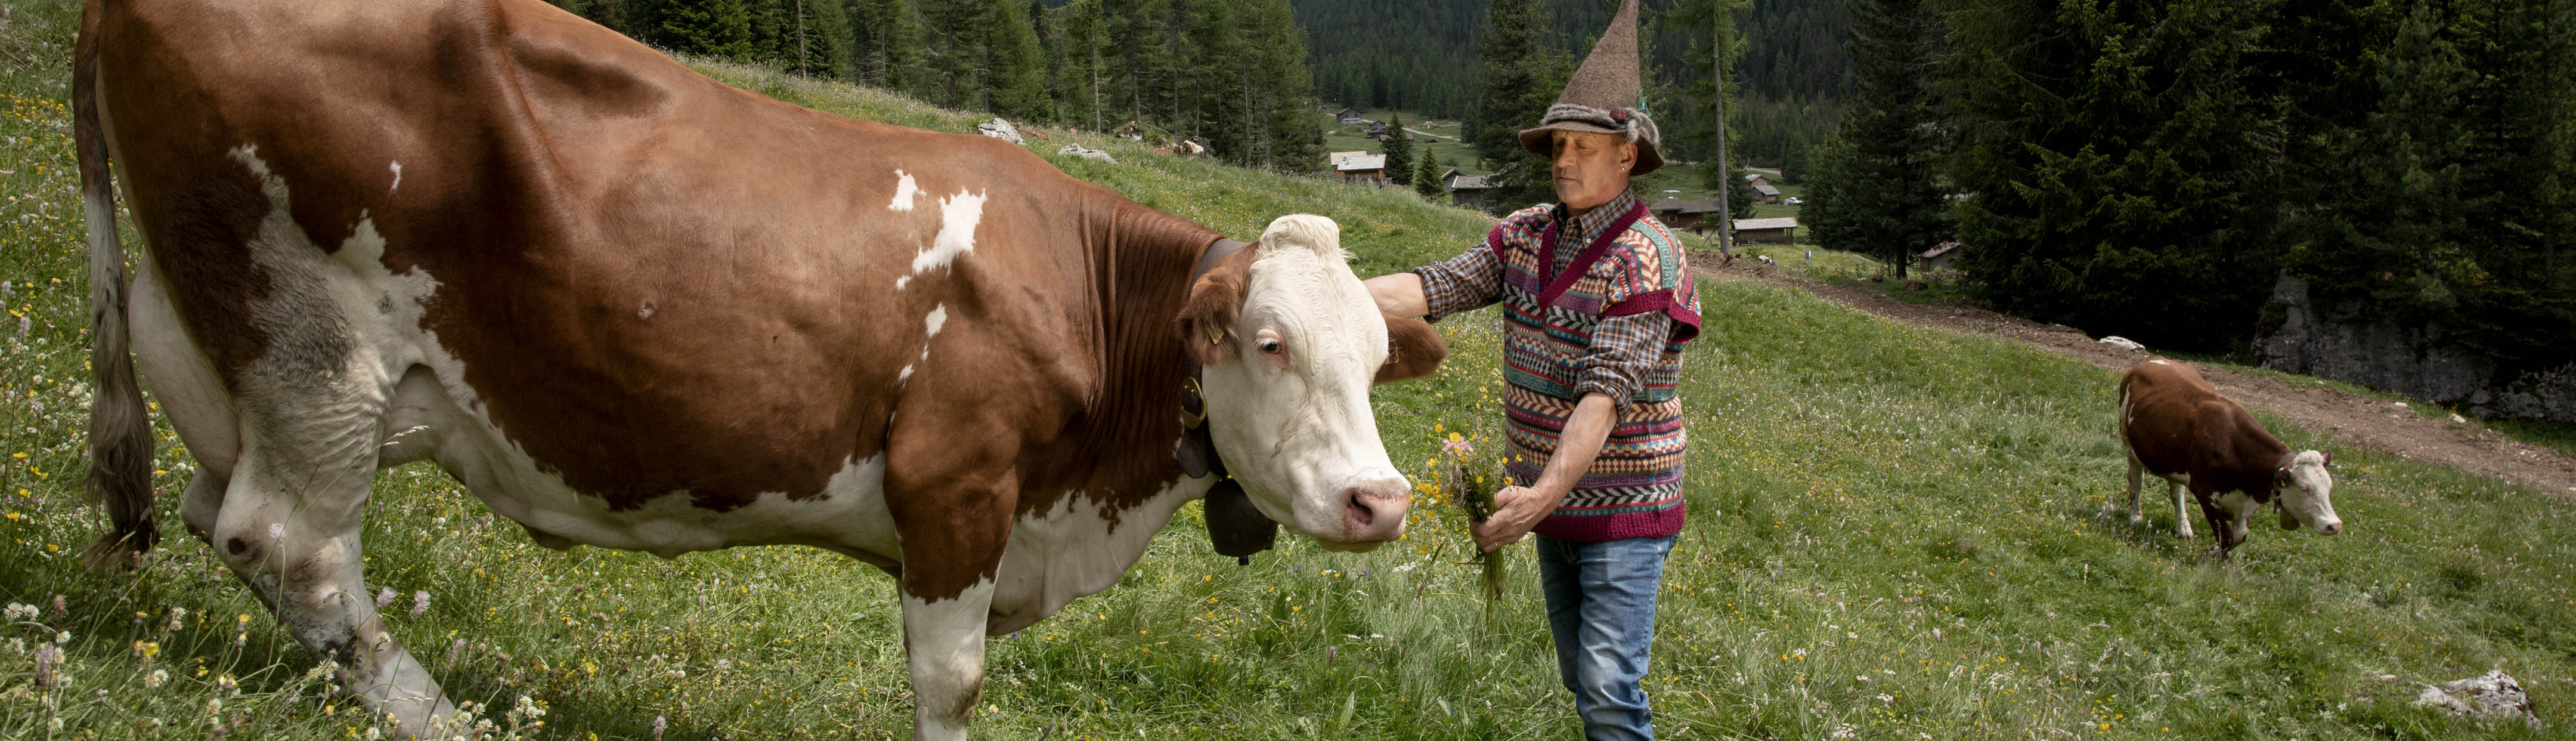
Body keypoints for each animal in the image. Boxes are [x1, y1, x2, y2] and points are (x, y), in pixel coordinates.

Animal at [71, 0, 1448, 737]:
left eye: (1383, 361)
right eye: (1268, 343)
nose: (1382, 502)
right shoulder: (957, 485)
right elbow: (952, 680)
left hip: (214, 340)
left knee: (220, 513)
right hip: (311, 339)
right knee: (292, 543)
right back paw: (439, 715)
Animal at [2117, 358, 2343, 558]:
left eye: (2329, 488)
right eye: (2305, 488)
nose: (2335, 525)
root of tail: (2150, 362)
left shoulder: (2243, 504)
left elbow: (2239, 536)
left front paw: (2214, 551)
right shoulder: (2204, 491)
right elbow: (2225, 535)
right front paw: (2216, 557)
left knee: (2177, 492)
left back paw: (2183, 528)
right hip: (2129, 443)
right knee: (2137, 482)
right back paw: (2136, 516)